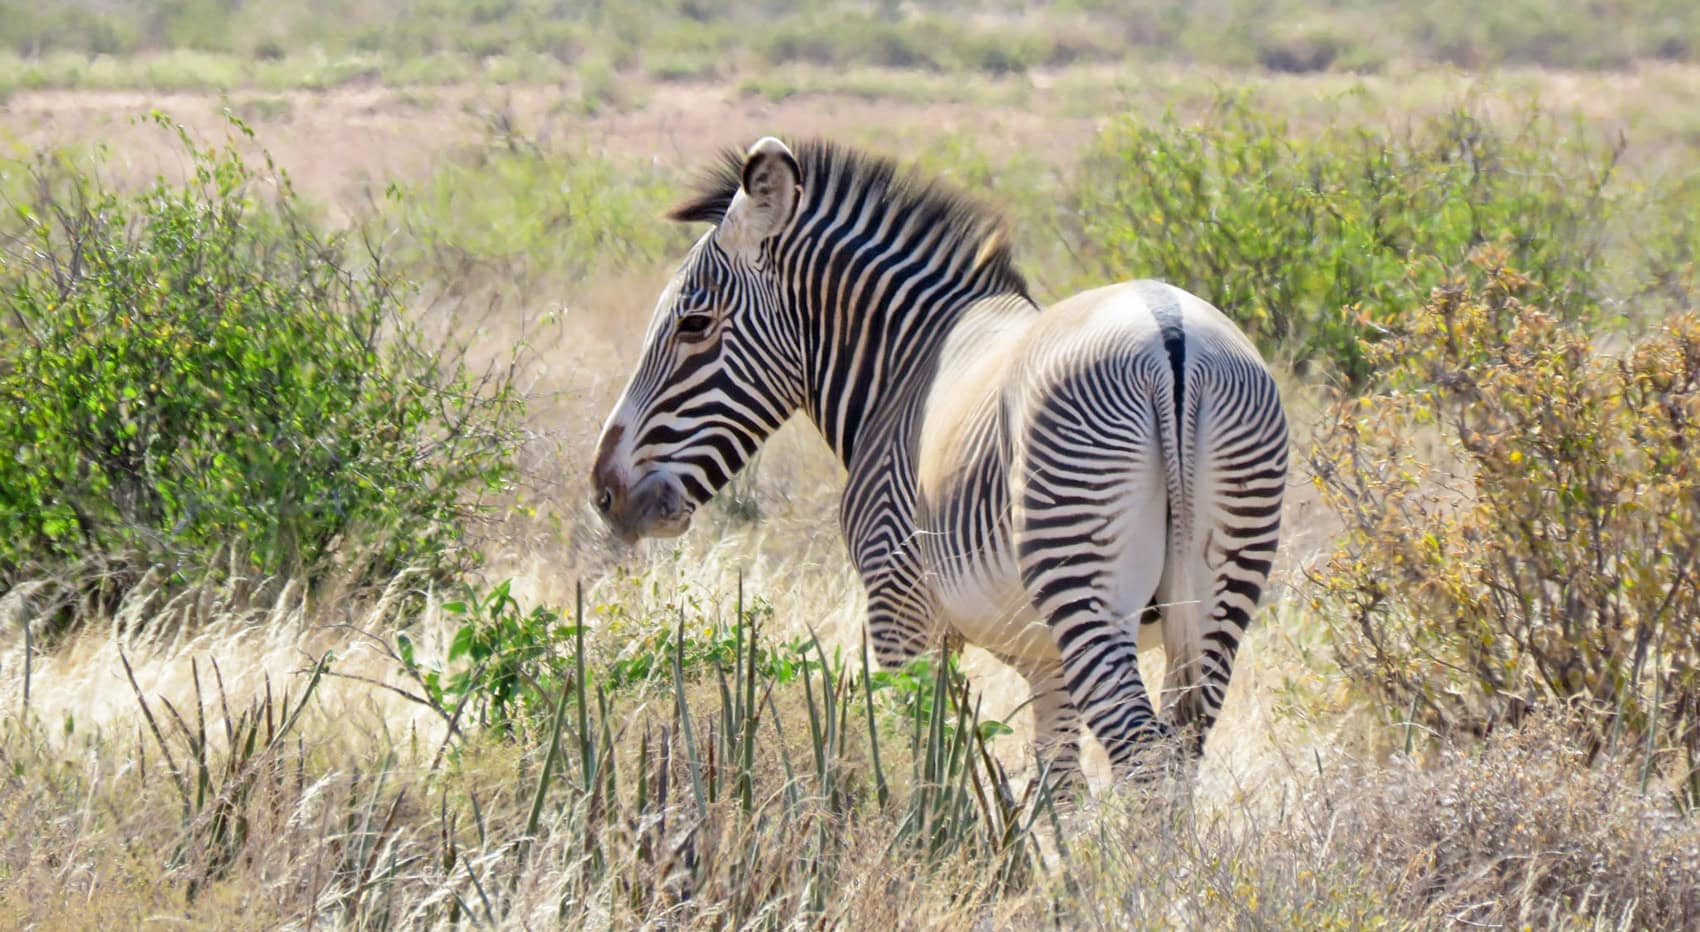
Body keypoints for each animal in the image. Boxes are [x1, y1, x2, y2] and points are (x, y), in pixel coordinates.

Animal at [592, 137, 1287, 787]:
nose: (605, 493)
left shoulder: (897, 603)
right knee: (1180, 751)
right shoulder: (1046, 658)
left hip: (1081, 573)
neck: (906, 366)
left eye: (693, 323)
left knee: (1144, 757)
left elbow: (916, 752)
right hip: (1220, 588)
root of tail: (1170, 335)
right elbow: (1057, 784)